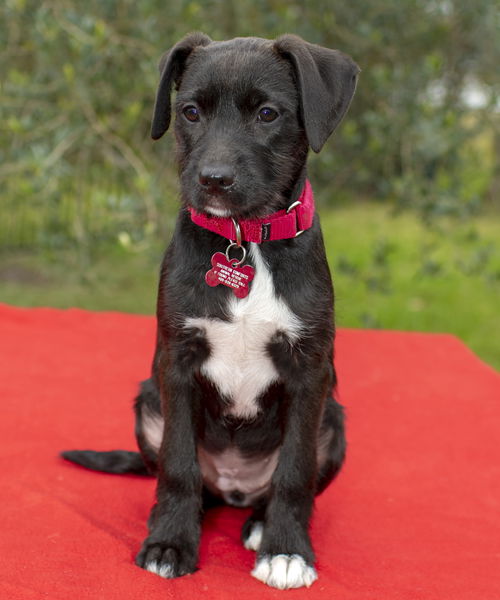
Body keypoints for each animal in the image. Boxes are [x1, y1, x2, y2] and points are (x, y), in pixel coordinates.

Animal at [63, 34, 360, 592]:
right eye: (191, 112)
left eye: (267, 113)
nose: (213, 179)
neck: (245, 241)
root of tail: (234, 487)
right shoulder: (177, 363)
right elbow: (178, 465)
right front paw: (170, 544)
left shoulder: (309, 372)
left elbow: (294, 472)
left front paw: (286, 551)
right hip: (148, 405)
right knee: (186, 478)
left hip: (333, 424)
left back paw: (261, 523)